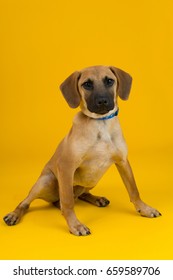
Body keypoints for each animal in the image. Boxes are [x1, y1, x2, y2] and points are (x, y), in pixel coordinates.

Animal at [3, 66, 161, 236]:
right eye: (87, 84)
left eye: (109, 81)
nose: (102, 101)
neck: (100, 123)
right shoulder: (66, 167)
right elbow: (67, 203)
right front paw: (75, 225)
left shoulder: (123, 161)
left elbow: (134, 190)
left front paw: (144, 209)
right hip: (45, 181)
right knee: (29, 202)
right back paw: (14, 214)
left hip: (92, 180)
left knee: (78, 195)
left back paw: (96, 198)